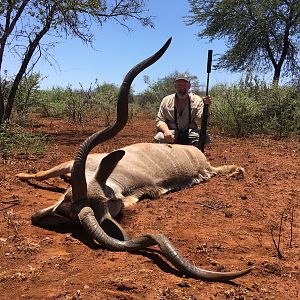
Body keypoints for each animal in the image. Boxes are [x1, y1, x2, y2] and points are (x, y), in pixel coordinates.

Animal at [17, 37, 253, 282]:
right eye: (66, 198)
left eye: (69, 216)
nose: (35, 217)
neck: (114, 180)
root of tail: (202, 159)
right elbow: (42, 173)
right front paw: (22, 174)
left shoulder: (73, 165)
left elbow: (42, 172)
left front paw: (19, 174)